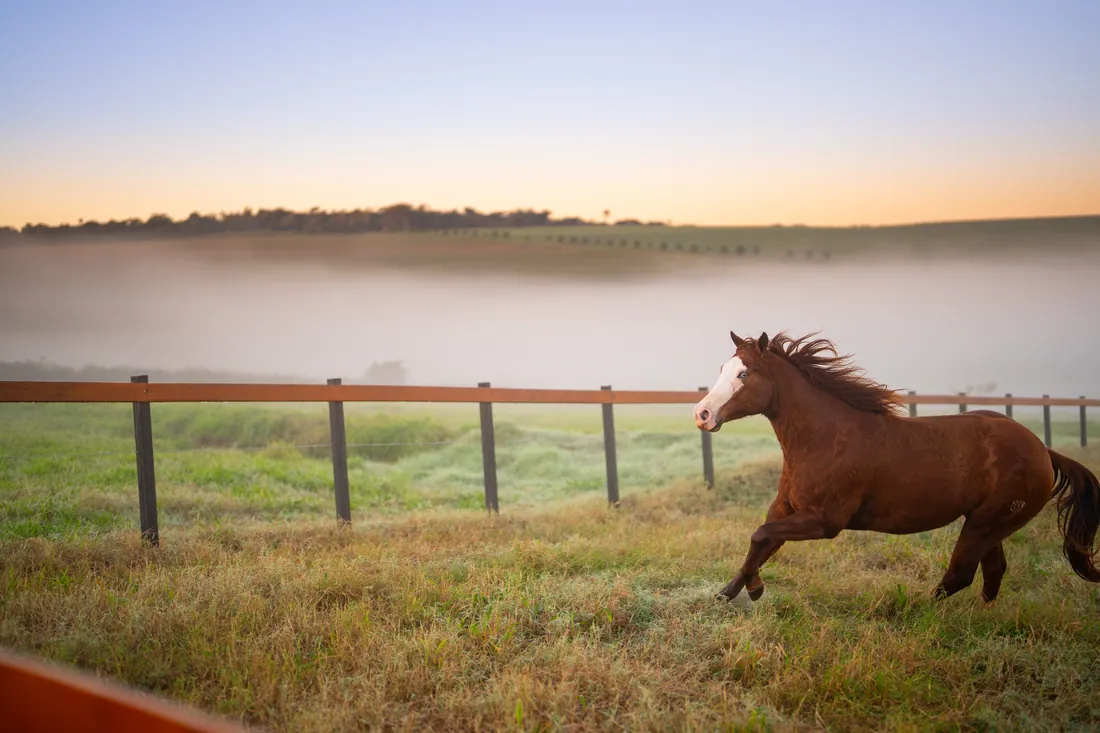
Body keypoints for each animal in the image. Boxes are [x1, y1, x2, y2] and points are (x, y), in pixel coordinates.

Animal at [693, 330, 1100, 604]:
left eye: (744, 375)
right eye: (723, 368)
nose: (702, 414)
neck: (824, 437)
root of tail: (1043, 450)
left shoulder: (824, 521)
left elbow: (760, 536)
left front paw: (754, 590)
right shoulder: (786, 509)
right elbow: (762, 542)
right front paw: (728, 593)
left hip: (986, 524)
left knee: (960, 575)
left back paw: (919, 611)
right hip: (988, 525)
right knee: (992, 573)